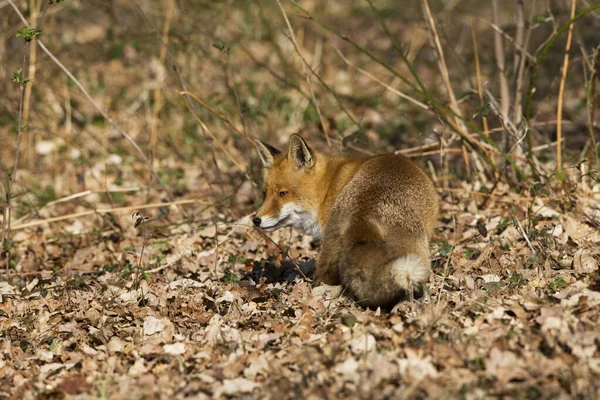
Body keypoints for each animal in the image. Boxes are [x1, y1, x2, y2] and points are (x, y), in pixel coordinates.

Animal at [251, 136, 438, 308]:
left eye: (282, 193)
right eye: (265, 194)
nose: (256, 220)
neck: (327, 190)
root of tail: (363, 215)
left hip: (329, 252)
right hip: (417, 257)